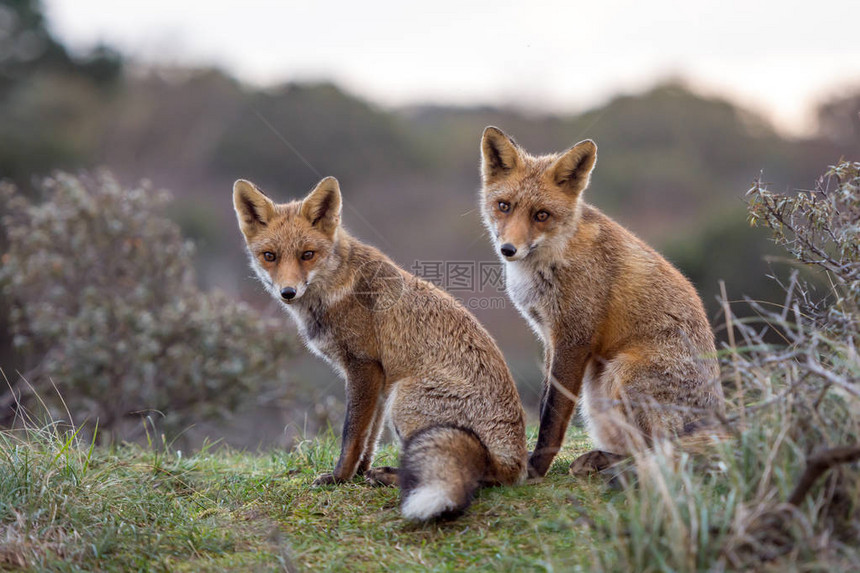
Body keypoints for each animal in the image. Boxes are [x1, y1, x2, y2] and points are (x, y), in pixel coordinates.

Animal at [235, 175, 532, 520]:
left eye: (307, 254)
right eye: (270, 256)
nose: (288, 292)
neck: (336, 289)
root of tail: (515, 464)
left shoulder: (363, 365)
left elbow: (351, 435)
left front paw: (339, 478)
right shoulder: (377, 378)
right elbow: (369, 436)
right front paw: (360, 473)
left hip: (403, 399)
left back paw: (395, 477)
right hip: (395, 396)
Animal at [480, 127, 724, 476]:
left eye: (542, 215)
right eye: (504, 206)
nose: (508, 249)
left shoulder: (574, 337)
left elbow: (552, 414)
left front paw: (536, 468)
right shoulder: (550, 337)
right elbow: (544, 401)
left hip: (619, 375)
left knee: (663, 454)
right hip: (597, 388)